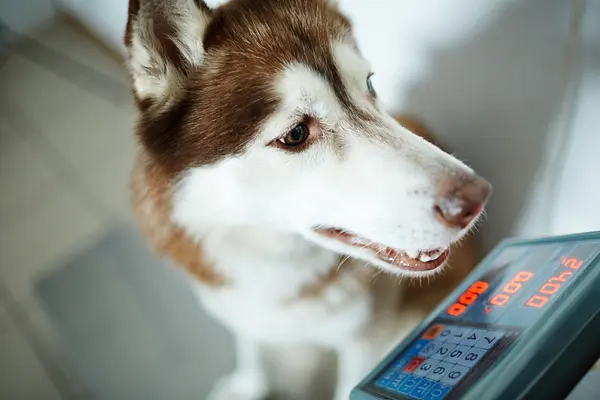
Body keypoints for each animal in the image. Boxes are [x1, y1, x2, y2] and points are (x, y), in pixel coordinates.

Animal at [123, 1, 492, 398]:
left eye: (368, 83)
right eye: (296, 134)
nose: (478, 198)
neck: (274, 265)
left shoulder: (364, 339)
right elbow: (249, 345)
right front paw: (247, 384)